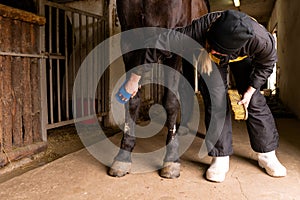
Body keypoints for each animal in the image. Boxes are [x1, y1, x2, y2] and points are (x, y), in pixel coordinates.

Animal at [109, 0, 210, 178]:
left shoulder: (174, 42)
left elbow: (170, 101)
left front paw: (171, 160)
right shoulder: (129, 43)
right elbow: (132, 98)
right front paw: (123, 157)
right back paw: (183, 127)